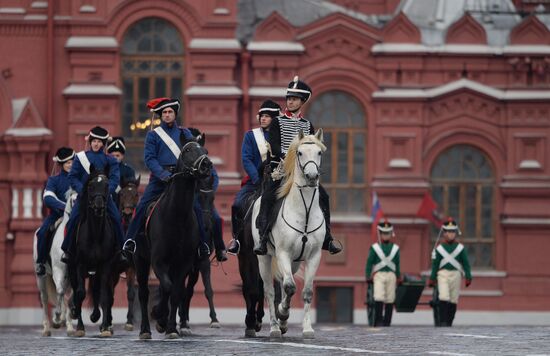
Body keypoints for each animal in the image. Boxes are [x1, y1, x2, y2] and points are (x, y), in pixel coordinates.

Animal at [32, 191, 75, 336]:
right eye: (74, 201)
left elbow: (71, 296)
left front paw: (67, 321)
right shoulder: (58, 270)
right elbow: (60, 292)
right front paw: (57, 318)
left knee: (63, 295)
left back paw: (67, 324)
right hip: (41, 277)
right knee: (45, 298)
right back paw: (47, 327)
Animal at [68, 165, 120, 338]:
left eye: (106, 185)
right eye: (90, 186)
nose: (98, 206)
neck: (96, 234)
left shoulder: (106, 266)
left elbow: (104, 296)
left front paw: (104, 327)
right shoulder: (79, 264)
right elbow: (80, 293)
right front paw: (79, 327)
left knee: (99, 292)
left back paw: (97, 316)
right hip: (72, 270)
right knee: (78, 293)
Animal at [136, 132, 213, 338]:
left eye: (205, 150)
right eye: (187, 150)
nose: (206, 165)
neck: (176, 216)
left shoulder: (183, 263)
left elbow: (176, 292)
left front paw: (170, 327)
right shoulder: (157, 261)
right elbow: (168, 288)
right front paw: (159, 315)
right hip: (140, 260)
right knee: (143, 292)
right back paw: (145, 329)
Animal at [182, 172, 223, 334]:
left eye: (213, 198)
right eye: (197, 196)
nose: (206, 226)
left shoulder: (203, 261)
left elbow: (208, 290)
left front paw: (214, 320)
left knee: (188, 290)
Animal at [254, 129, 328, 338]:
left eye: (319, 152)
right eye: (300, 152)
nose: (311, 176)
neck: (304, 211)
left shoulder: (313, 256)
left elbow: (307, 291)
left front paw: (307, 328)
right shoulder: (283, 253)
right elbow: (289, 287)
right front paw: (283, 313)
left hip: (294, 262)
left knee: (281, 283)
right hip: (265, 258)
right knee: (270, 290)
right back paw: (274, 326)